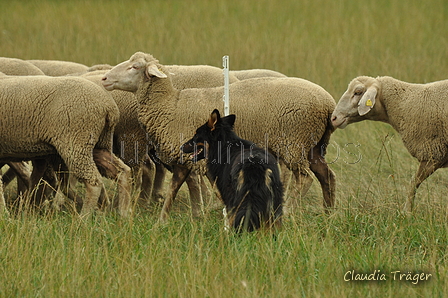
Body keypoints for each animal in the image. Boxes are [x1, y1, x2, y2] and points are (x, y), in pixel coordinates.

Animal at [0, 74, 132, 217]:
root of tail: (109, 107)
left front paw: (5, 215)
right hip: (95, 144)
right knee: (121, 171)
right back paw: (123, 213)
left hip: (75, 142)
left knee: (93, 182)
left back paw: (84, 217)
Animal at [103, 51, 336, 221]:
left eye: (135, 67)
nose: (104, 78)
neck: (170, 106)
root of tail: (328, 103)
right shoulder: (184, 158)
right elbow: (174, 190)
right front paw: (164, 221)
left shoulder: (199, 158)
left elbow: (205, 188)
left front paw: (209, 213)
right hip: (313, 145)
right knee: (326, 175)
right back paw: (329, 211)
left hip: (293, 142)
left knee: (305, 178)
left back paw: (289, 211)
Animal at [330, 76, 448, 212]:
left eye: (358, 92)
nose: (333, 118)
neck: (403, 103)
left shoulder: (432, 154)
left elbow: (413, 184)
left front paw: (407, 212)